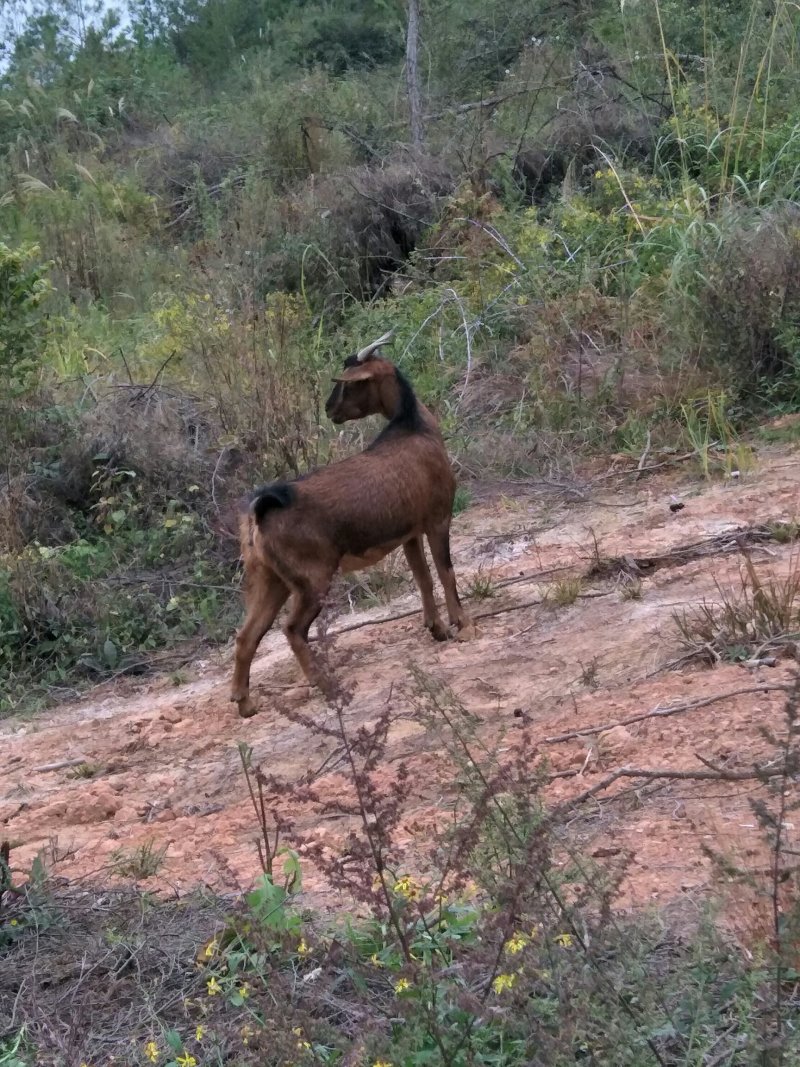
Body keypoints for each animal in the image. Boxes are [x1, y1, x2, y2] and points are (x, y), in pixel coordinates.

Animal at [230, 328, 475, 721]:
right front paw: (462, 625)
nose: (330, 410)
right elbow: (445, 571)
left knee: (247, 635)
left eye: (351, 384)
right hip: (313, 579)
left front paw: (437, 628)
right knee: (292, 629)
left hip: (269, 579)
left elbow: (422, 578)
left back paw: (245, 703)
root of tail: (260, 509)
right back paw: (323, 683)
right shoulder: (438, 518)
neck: (413, 427)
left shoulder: (408, 533)